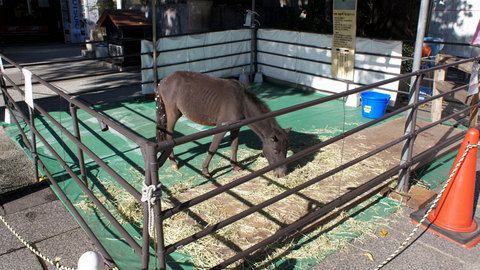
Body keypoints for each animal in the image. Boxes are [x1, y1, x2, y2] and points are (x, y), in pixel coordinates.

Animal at [155, 70, 288, 178]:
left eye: (286, 150)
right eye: (275, 151)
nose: (282, 174)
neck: (241, 102)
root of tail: (163, 82)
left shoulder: (236, 127)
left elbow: (234, 146)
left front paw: (236, 167)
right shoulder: (221, 127)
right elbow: (213, 148)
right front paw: (205, 171)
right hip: (173, 114)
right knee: (169, 136)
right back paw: (173, 163)